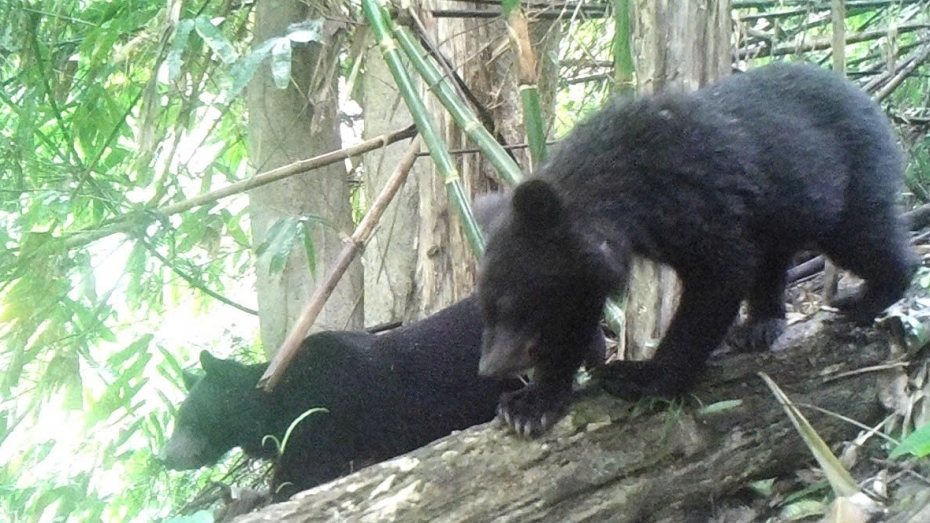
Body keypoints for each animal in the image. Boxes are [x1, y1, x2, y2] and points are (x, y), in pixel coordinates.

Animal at [474, 61, 916, 438]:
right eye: (487, 308)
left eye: (513, 304)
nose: (488, 368)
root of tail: (870, 103)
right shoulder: (583, 268)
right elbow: (571, 321)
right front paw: (529, 405)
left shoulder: (697, 203)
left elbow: (718, 278)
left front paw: (638, 376)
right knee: (773, 258)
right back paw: (758, 326)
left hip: (848, 180)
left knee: (863, 237)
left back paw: (861, 301)